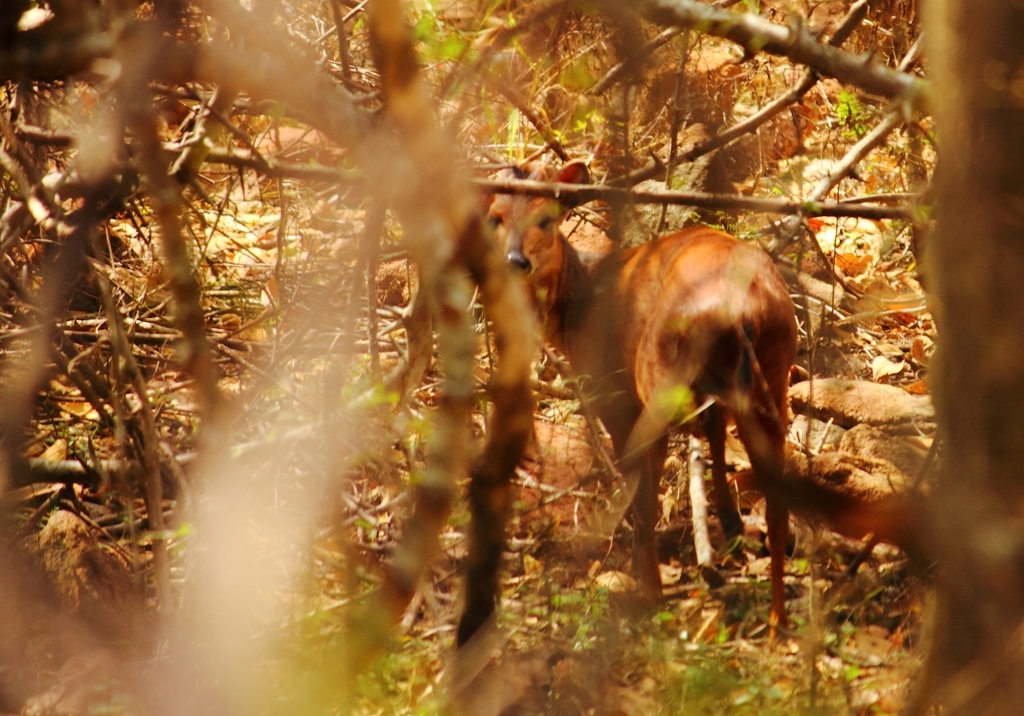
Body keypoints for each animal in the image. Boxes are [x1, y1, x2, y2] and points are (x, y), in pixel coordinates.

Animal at [487, 159, 798, 630]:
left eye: (546, 218)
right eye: (495, 217)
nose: (515, 261)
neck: (574, 310)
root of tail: (738, 311)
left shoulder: (613, 394)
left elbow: (642, 488)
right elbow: (714, 436)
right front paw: (730, 524)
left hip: (657, 374)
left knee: (650, 483)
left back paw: (650, 592)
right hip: (775, 369)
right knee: (778, 496)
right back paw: (778, 621)